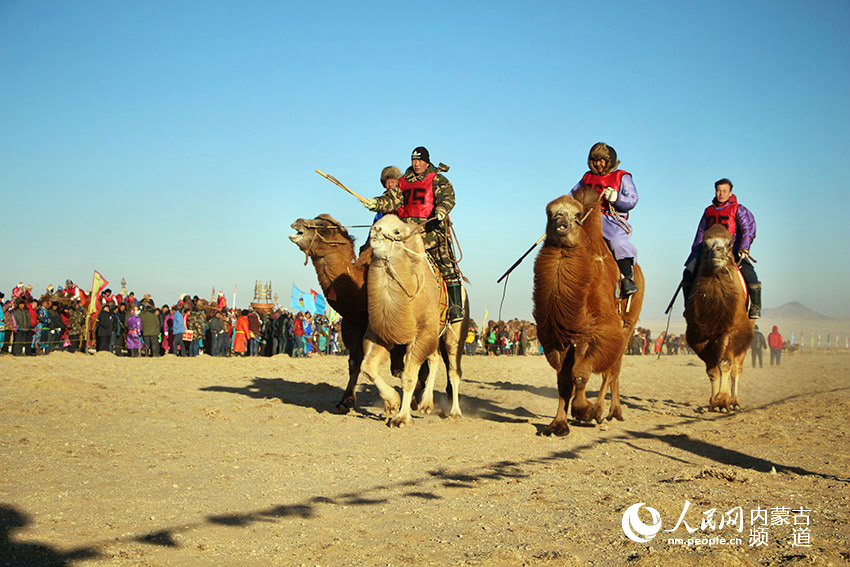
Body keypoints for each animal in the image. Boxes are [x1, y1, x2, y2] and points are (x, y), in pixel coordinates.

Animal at [528, 186, 644, 434]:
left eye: (578, 215)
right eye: (550, 213)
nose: (562, 222)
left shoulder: (600, 331)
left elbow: (580, 374)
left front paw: (584, 411)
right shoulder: (559, 335)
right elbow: (563, 381)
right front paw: (558, 425)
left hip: (628, 324)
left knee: (612, 369)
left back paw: (603, 412)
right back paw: (612, 412)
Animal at [680, 223, 752, 412]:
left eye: (729, 244)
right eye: (705, 244)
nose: (717, 250)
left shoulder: (732, 330)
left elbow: (725, 363)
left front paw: (722, 402)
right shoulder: (699, 336)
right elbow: (712, 370)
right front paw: (713, 401)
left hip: (746, 333)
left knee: (736, 368)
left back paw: (734, 402)